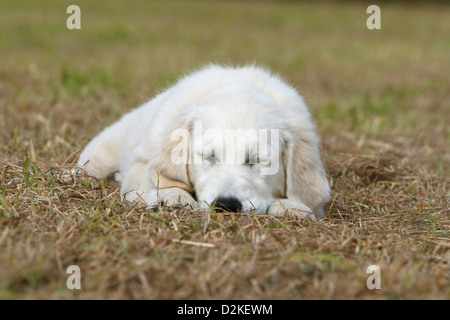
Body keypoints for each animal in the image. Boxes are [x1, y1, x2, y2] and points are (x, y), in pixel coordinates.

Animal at [77, 64, 330, 220]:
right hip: (103, 153)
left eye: (256, 161)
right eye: (210, 157)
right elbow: (156, 179)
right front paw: (174, 197)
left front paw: (292, 207)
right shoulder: (141, 161)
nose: (226, 205)